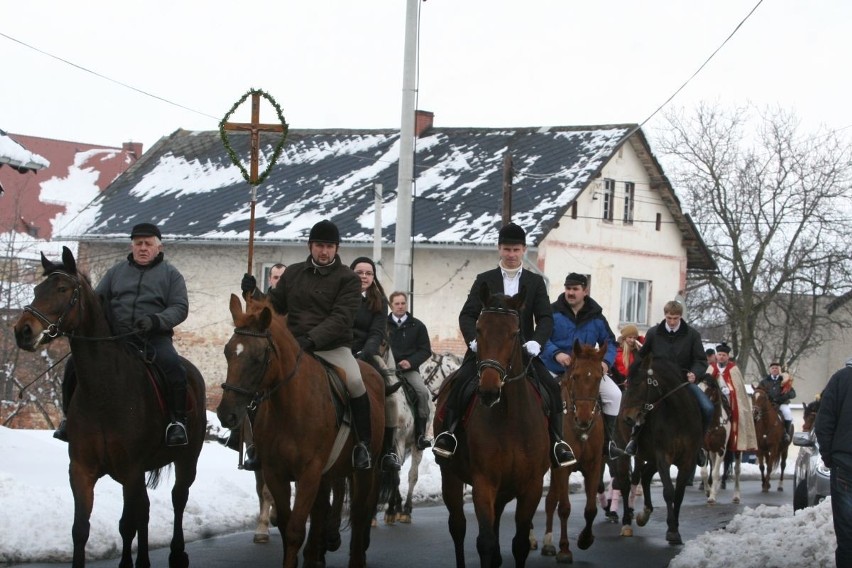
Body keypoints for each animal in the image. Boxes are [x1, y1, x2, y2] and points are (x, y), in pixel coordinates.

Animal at [14, 247, 207, 568]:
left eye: (62, 289)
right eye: (37, 289)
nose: (23, 331)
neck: (105, 391)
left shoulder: (131, 469)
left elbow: (127, 524)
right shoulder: (81, 469)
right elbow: (81, 529)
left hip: (186, 459)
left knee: (178, 499)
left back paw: (177, 553)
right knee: (145, 510)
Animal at [216, 296, 382, 564]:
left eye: (258, 357)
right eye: (227, 352)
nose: (225, 413)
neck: (288, 408)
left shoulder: (309, 473)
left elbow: (295, 530)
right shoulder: (276, 473)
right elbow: (286, 527)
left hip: (365, 470)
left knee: (358, 513)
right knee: (323, 511)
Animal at [432, 284, 552, 568]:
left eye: (515, 333)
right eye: (478, 329)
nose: (488, 390)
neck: (509, 417)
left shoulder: (531, 486)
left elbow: (520, 544)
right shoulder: (484, 483)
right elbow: (485, 542)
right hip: (450, 477)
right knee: (458, 527)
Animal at [540, 340, 604, 560]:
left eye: (599, 377)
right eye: (575, 376)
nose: (584, 419)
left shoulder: (594, 466)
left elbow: (591, 508)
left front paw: (585, 539)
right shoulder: (563, 468)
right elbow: (565, 507)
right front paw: (565, 548)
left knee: (550, 499)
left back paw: (548, 543)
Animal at [616, 356, 704, 544]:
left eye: (639, 383)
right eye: (627, 383)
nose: (627, 417)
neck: (679, 416)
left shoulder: (687, 460)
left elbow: (679, 494)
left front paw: (675, 527)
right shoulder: (663, 456)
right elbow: (669, 491)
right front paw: (672, 530)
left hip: (651, 458)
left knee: (645, 475)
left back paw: (645, 513)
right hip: (625, 453)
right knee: (626, 484)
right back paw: (627, 523)